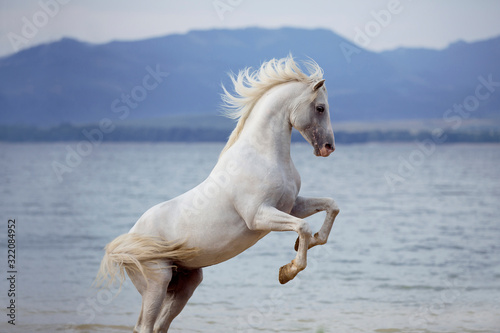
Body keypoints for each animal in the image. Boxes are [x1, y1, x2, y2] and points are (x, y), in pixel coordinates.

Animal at [96, 55, 340, 330]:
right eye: (320, 108)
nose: (328, 147)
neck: (263, 155)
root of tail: (124, 242)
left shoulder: (291, 206)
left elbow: (330, 206)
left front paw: (309, 242)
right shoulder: (259, 216)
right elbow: (303, 226)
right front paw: (287, 271)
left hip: (185, 284)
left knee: (160, 326)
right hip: (156, 283)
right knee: (144, 326)